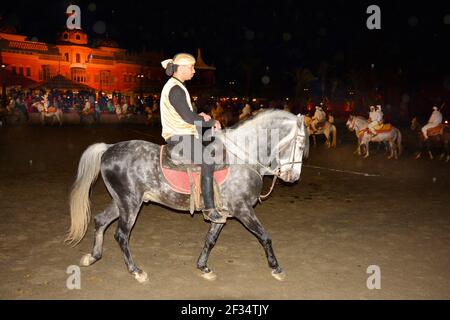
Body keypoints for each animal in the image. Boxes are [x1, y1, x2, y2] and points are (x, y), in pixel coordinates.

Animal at [67, 110, 310, 282]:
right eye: (300, 145)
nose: (293, 177)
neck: (242, 156)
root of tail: (108, 148)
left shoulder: (222, 213)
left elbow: (210, 239)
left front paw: (203, 267)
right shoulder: (242, 210)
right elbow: (264, 236)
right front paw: (276, 267)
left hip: (121, 202)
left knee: (100, 221)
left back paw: (93, 256)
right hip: (130, 204)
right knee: (121, 235)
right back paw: (136, 271)